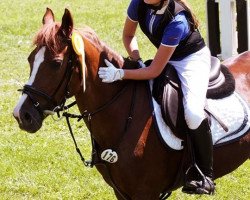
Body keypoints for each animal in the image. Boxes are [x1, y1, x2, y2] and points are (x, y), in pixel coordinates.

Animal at [12, 8, 249, 200]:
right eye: (30, 60)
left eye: (56, 63)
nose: (22, 115)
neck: (123, 114)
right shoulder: (121, 191)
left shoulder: (146, 192)